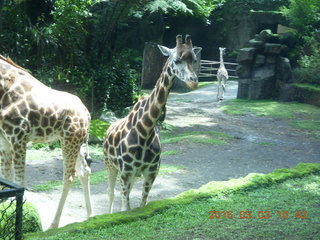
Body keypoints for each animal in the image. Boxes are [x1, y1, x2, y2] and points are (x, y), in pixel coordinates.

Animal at [0, 54, 93, 229]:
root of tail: (87, 113)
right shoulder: (4, 141)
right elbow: (6, 180)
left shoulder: (19, 139)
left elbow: (19, 182)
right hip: (75, 142)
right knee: (85, 170)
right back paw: (91, 215)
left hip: (69, 140)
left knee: (69, 176)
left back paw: (53, 224)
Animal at [104, 34, 201, 212]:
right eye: (177, 60)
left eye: (194, 59)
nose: (193, 82)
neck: (145, 129)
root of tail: (108, 129)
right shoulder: (126, 172)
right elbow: (126, 208)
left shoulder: (151, 173)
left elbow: (142, 203)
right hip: (110, 165)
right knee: (111, 193)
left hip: (132, 174)